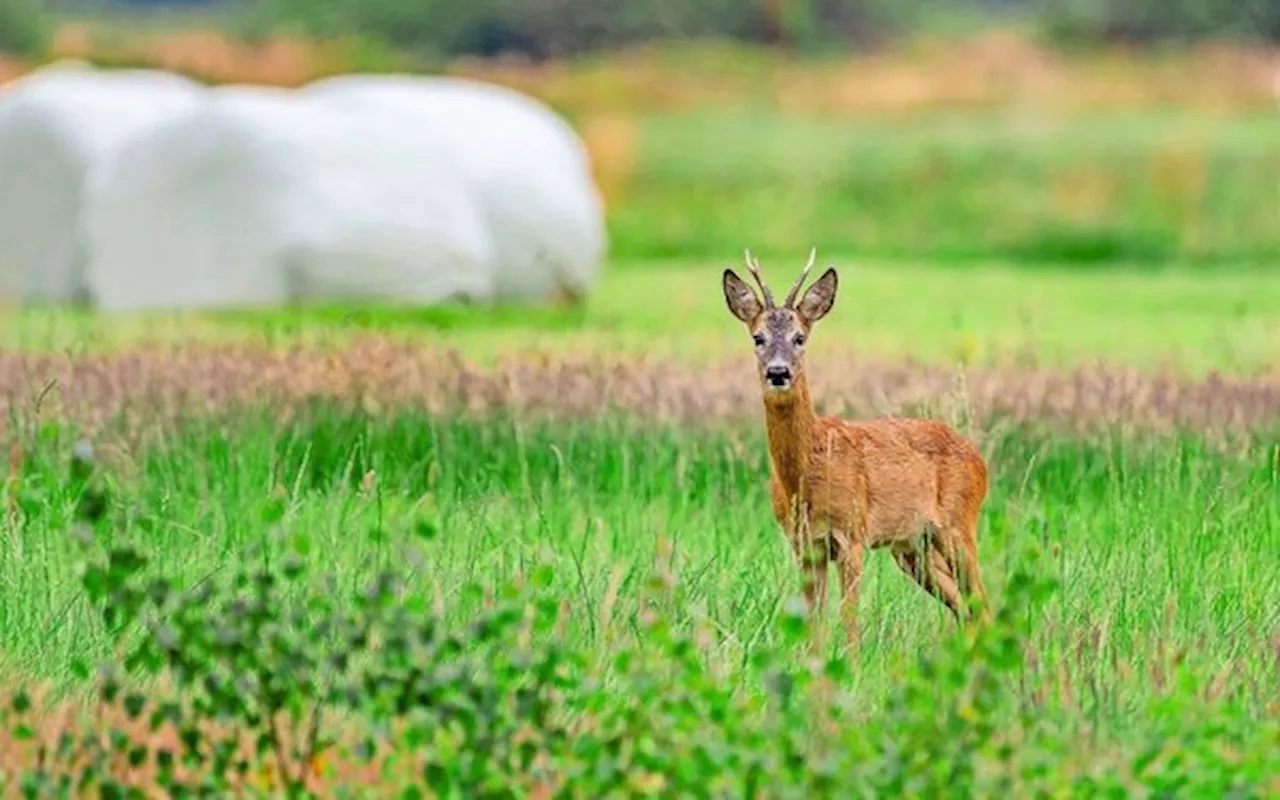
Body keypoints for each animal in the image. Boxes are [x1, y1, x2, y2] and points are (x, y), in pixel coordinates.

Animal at [721, 248, 988, 650]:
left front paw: (851, 659)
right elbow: (813, 623)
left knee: (982, 602)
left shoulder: (853, 534)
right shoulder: (805, 544)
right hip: (913, 548)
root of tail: (979, 459)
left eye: (800, 337)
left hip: (958, 525)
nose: (779, 372)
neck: (806, 473)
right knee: (965, 607)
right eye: (758, 337)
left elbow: (848, 620)